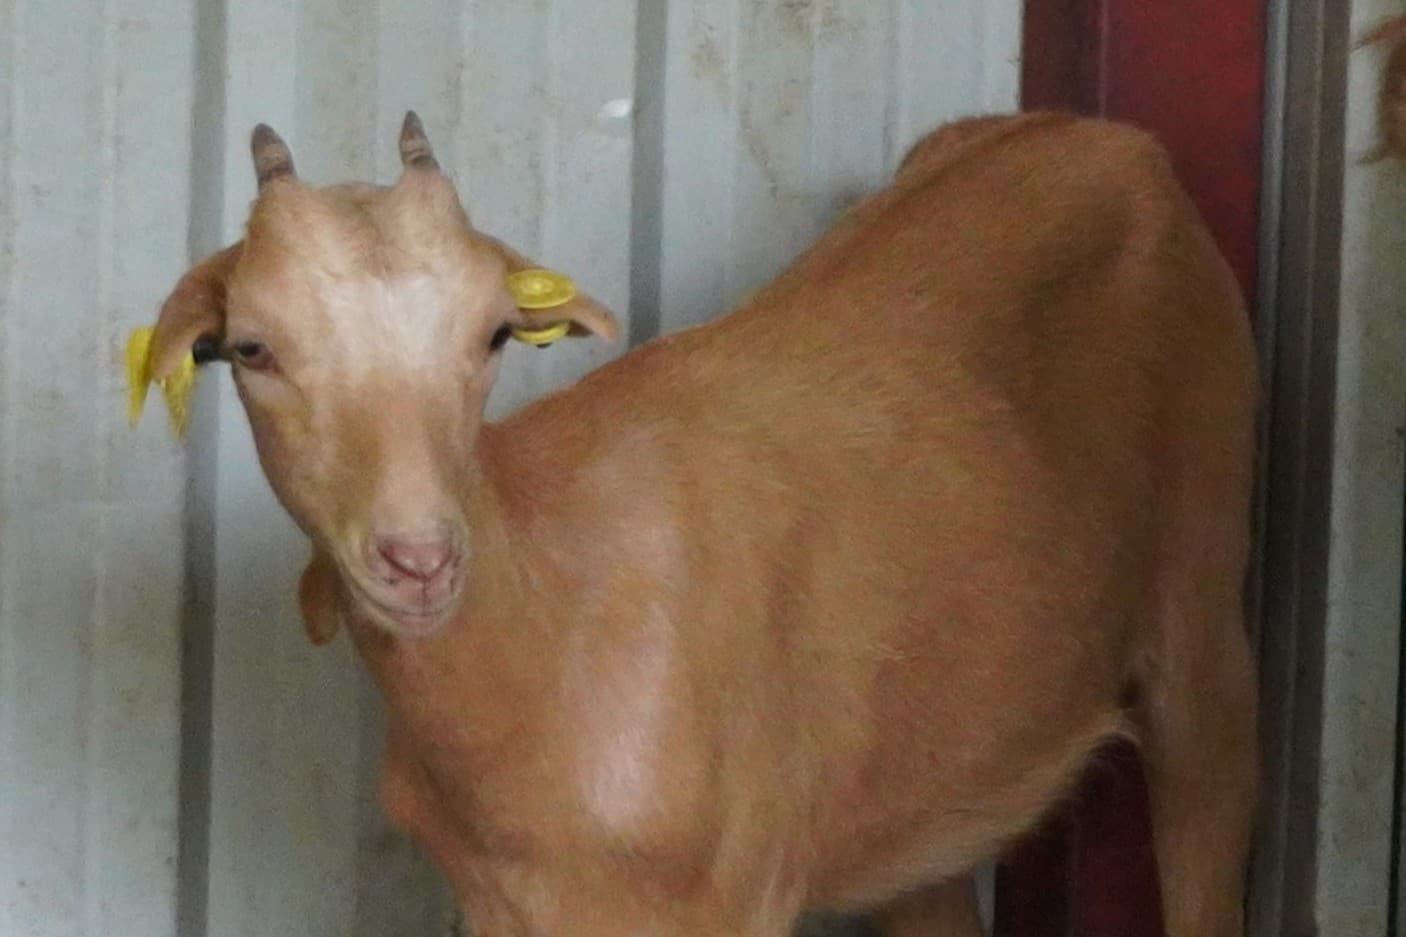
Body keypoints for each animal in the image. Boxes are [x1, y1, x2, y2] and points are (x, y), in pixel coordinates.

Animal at [145, 111, 1259, 937]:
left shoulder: (729, 890)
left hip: (1200, 613)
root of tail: (1106, 136)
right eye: (251, 348)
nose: (418, 559)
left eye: (496, 332)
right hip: (920, 797)